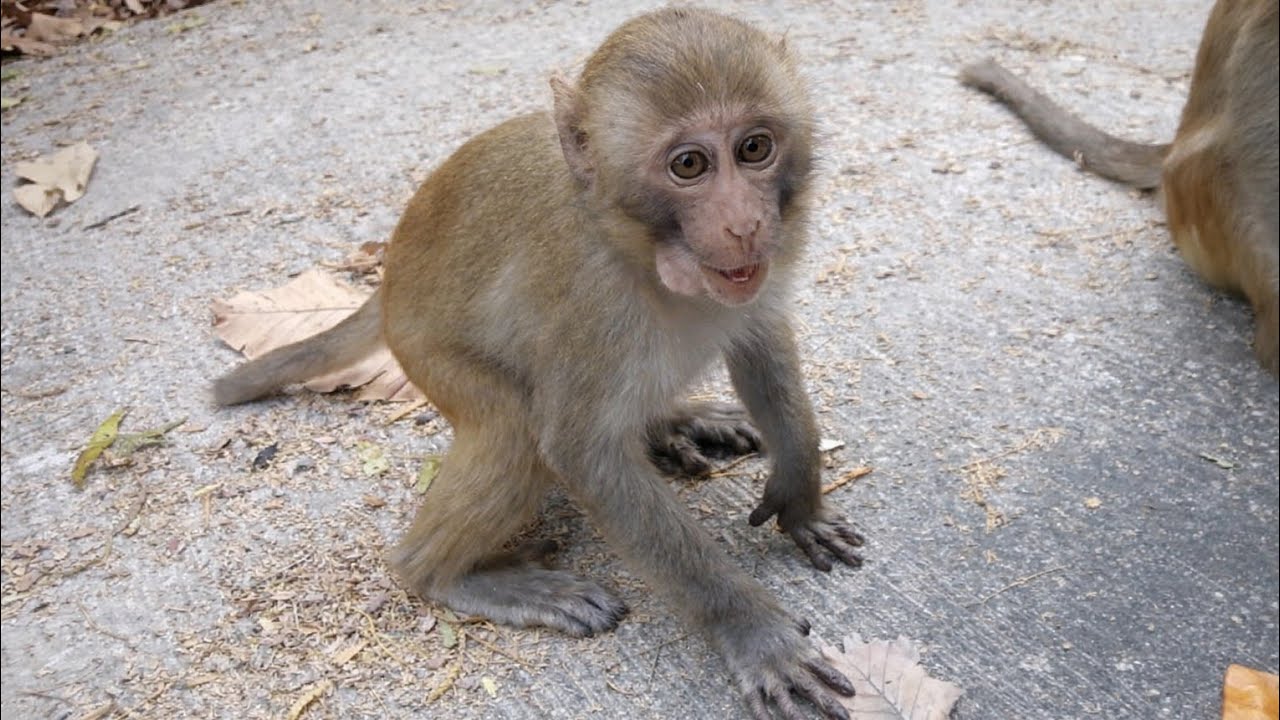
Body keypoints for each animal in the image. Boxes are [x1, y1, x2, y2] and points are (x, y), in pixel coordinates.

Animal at [215, 8, 866, 719]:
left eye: (754, 149)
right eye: (690, 164)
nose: (745, 224)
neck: (637, 245)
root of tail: (387, 283)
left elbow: (760, 342)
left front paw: (800, 494)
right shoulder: (590, 298)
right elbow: (583, 453)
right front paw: (753, 632)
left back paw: (670, 422)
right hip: (429, 357)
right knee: (515, 433)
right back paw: (443, 573)